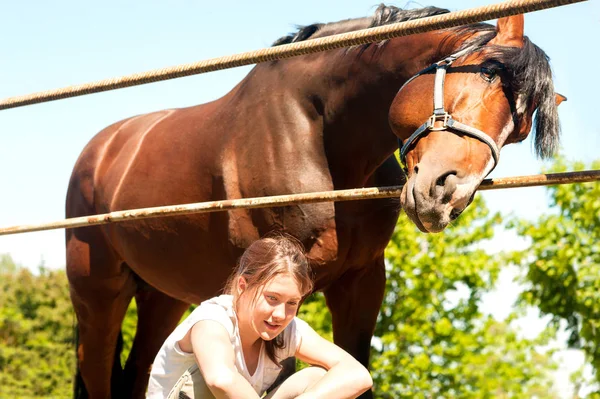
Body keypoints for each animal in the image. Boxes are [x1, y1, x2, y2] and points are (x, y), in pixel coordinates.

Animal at [65, 4, 564, 398]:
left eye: (518, 131)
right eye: (486, 74)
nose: (443, 194)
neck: (316, 131)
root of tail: (103, 148)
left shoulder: (361, 283)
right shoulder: (284, 287)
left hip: (163, 297)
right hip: (99, 296)